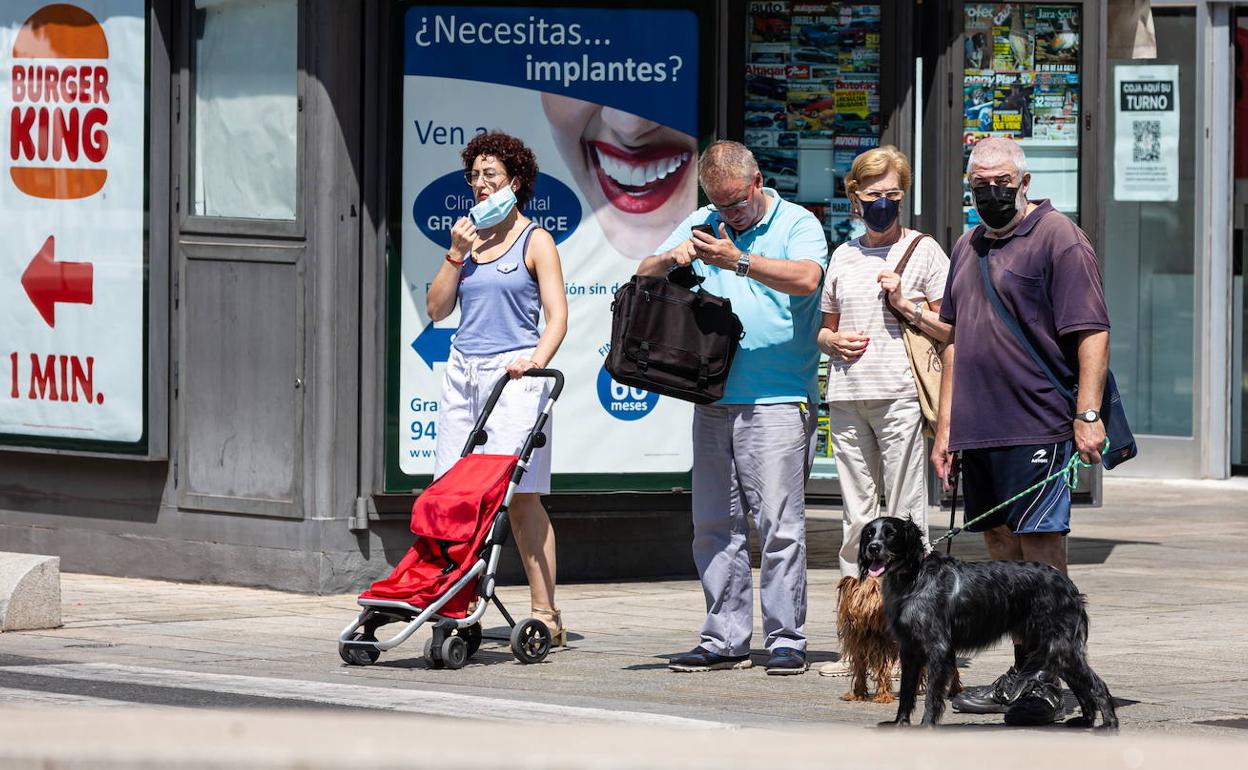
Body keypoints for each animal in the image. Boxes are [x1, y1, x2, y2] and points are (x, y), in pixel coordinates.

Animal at [863, 516, 1118, 728]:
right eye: (869, 533)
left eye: (891, 533)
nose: (872, 548)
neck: (914, 578)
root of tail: (1069, 585)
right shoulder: (910, 649)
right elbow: (906, 692)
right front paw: (899, 723)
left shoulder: (938, 649)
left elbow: (932, 697)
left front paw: (926, 726)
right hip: (1055, 649)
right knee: (1082, 687)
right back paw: (1085, 721)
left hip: (1061, 647)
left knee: (1097, 685)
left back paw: (1109, 724)